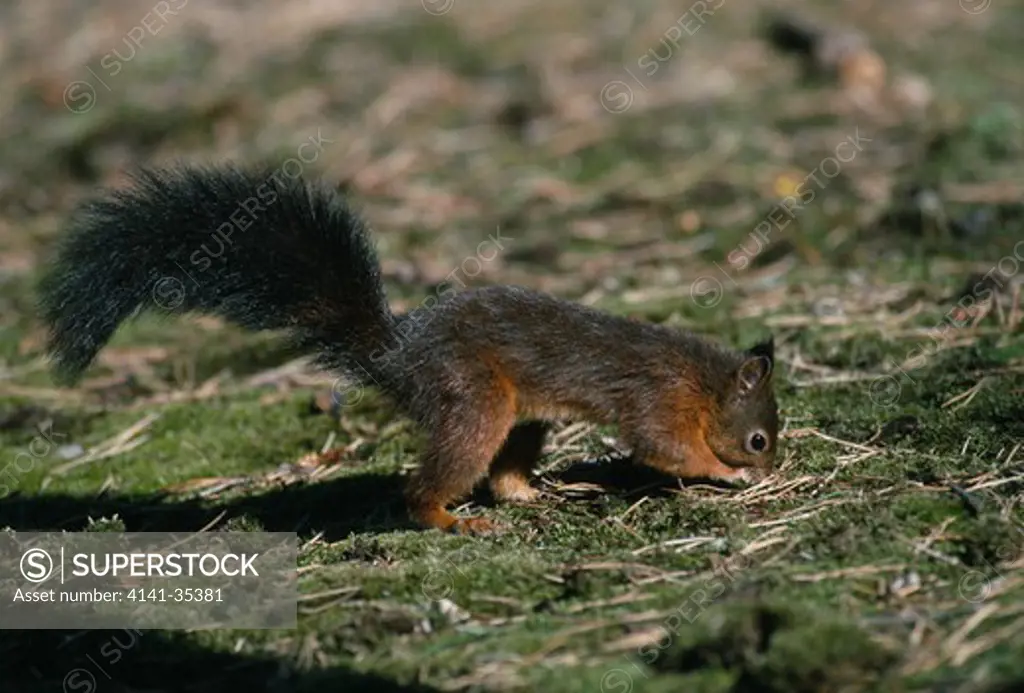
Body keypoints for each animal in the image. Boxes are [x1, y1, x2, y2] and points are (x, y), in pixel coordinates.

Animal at [36, 164, 778, 532]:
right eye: (760, 438)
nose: (775, 464)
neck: (702, 382)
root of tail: (397, 357)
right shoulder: (657, 399)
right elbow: (665, 448)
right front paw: (725, 473)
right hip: (473, 400)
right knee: (428, 485)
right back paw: (447, 519)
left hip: (516, 415)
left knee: (503, 475)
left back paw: (538, 494)